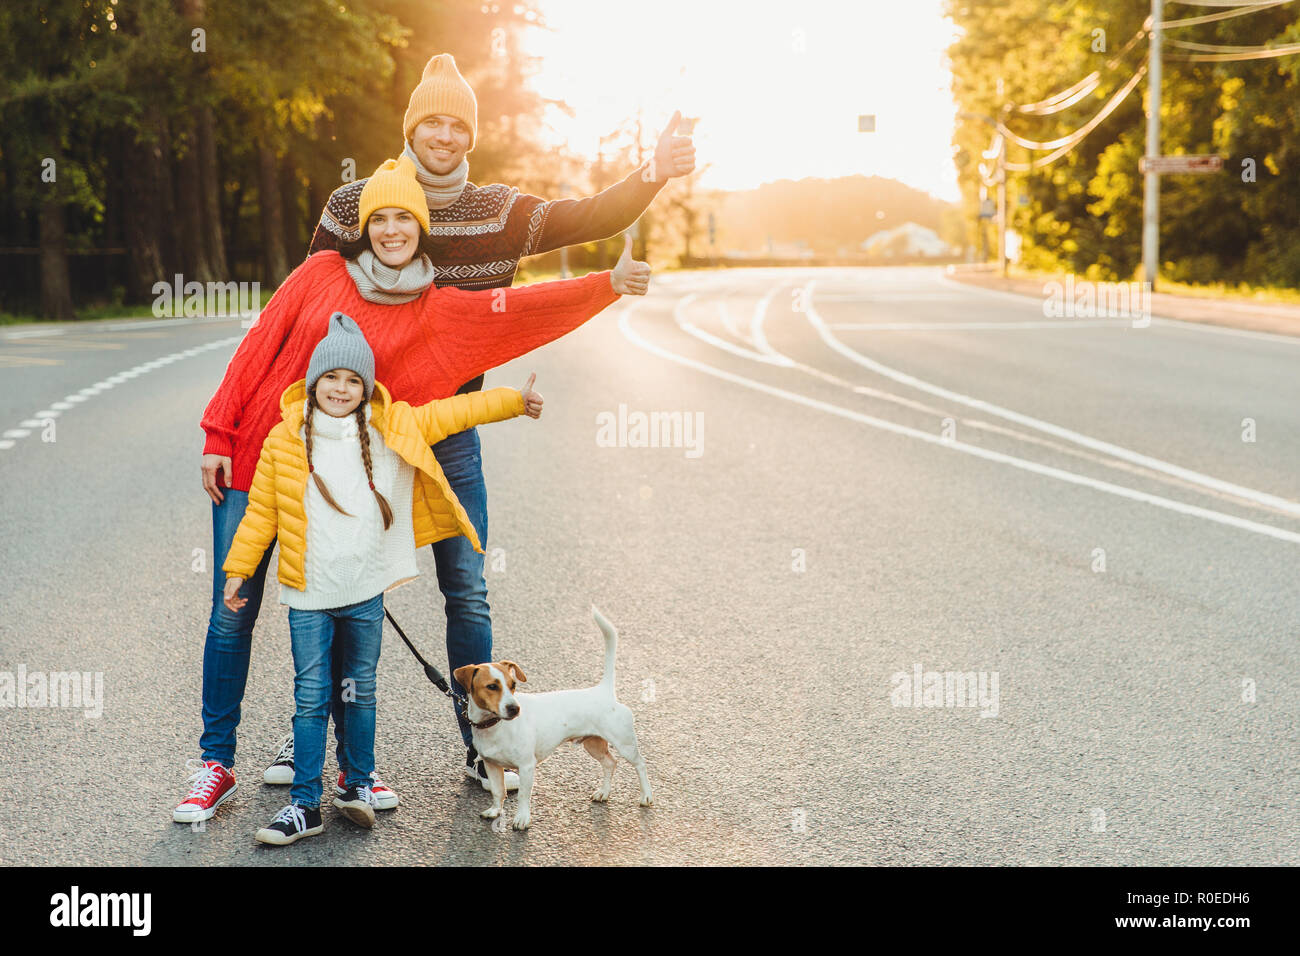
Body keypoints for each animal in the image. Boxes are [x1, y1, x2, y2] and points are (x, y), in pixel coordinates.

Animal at [454, 613, 655, 832]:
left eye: (513, 685)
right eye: (491, 686)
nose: (515, 709)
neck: (495, 726)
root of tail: (604, 690)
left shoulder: (527, 766)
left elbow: (523, 796)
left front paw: (522, 819)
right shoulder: (491, 765)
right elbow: (498, 792)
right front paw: (495, 811)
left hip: (625, 744)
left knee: (641, 764)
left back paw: (646, 796)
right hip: (593, 744)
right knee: (610, 763)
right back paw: (603, 792)